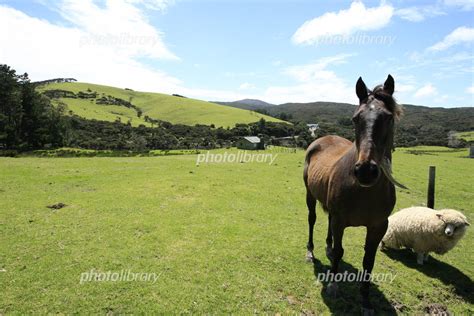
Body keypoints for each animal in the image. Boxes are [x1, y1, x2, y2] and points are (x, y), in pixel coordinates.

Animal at [306, 74, 402, 314]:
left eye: (388, 118)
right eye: (355, 118)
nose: (366, 171)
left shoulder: (379, 226)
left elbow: (369, 260)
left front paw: (366, 300)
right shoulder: (341, 221)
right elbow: (340, 251)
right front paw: (333, 284)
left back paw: (327, 247)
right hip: (310, 196)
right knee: (312, 219)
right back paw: (310, 252)